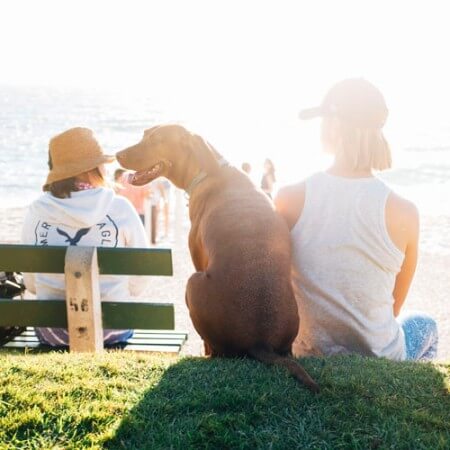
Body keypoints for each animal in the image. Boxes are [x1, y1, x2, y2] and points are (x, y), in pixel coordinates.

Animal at [118, 124, 318, 390]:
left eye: (157, 140)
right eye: (144, 135)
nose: (117, 155)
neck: (208, 169)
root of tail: (260, 342)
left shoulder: (197, 259)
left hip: (192, 283)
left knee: (215, 349)